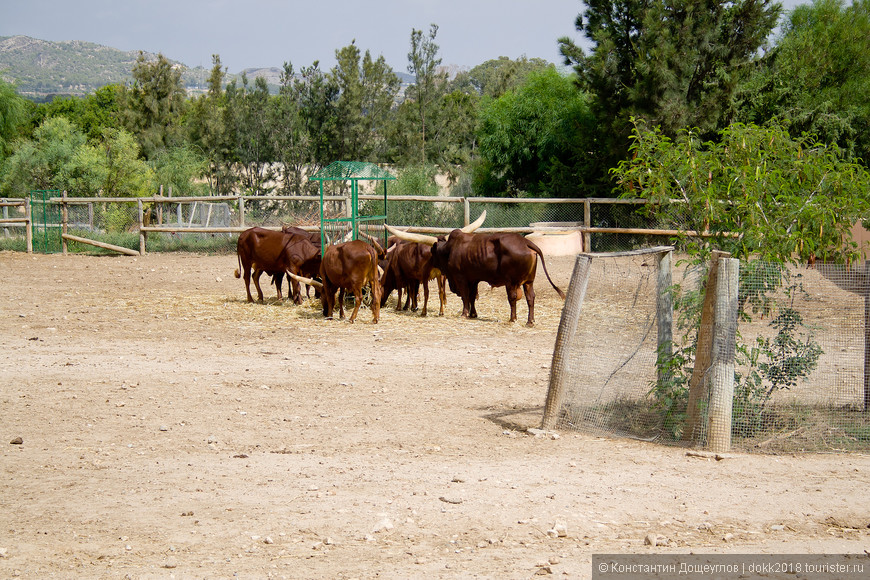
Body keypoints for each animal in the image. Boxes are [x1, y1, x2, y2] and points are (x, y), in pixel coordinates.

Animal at [386, 213, 564, 328]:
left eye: (433, 252)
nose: (431, 261)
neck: (450, 249)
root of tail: (526, 242)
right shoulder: (474, 279)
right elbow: (472, 296)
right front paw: (473, 314)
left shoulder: (461, 278)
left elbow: (465, 296)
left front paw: (465, 314)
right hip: (529, 282)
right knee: (530, 298)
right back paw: (530, 321)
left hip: (512, 282)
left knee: (513, 298)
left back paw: (512, 319)